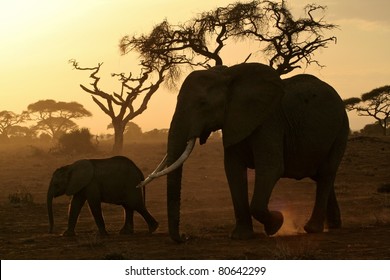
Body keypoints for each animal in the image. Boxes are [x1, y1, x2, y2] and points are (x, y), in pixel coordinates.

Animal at [142, 63, 348, 243]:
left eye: (202, 103)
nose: (185, 237)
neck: (229, 76)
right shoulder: (233, 121)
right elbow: (233, 170)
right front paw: (241, 237)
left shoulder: (269, 121)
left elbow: (271, 168)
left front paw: (276, 224)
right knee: (320, 176)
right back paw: (334, 225)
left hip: (341, 130)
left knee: (326, 174)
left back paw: (312, 229)